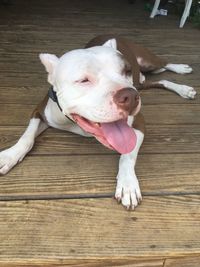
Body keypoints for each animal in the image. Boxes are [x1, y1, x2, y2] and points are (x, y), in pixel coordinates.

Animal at [0, 34, 196, 210]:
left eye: (125, 71)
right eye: (84, 80)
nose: (130, 96)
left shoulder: (138, 122)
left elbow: (128, 154)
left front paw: (128, 183)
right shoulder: (39, 111)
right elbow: (27, 137)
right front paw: (10, 156)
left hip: (145, 62)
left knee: (163, 66)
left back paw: (182, 76)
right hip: (140, 83)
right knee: (158, 80)